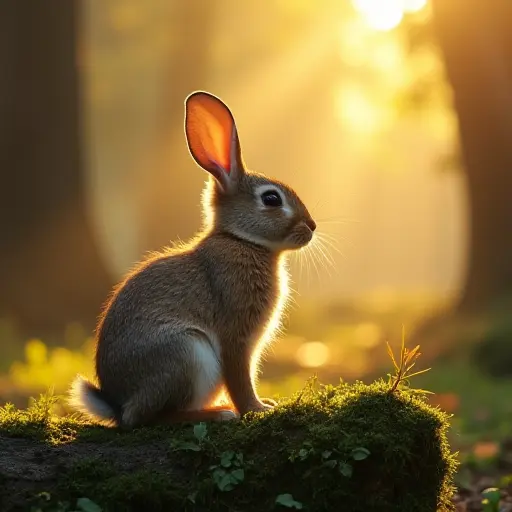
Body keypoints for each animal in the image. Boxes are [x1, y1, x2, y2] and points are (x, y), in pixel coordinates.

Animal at [68, 91, 316, 428]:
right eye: (271, 199)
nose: (312, 227)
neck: (240, 240)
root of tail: (117, 405)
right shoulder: (235, 336)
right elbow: (240, 378)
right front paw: (258, 409)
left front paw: (264, 404)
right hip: (186, 353)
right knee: (150, 417)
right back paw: (218, 413)